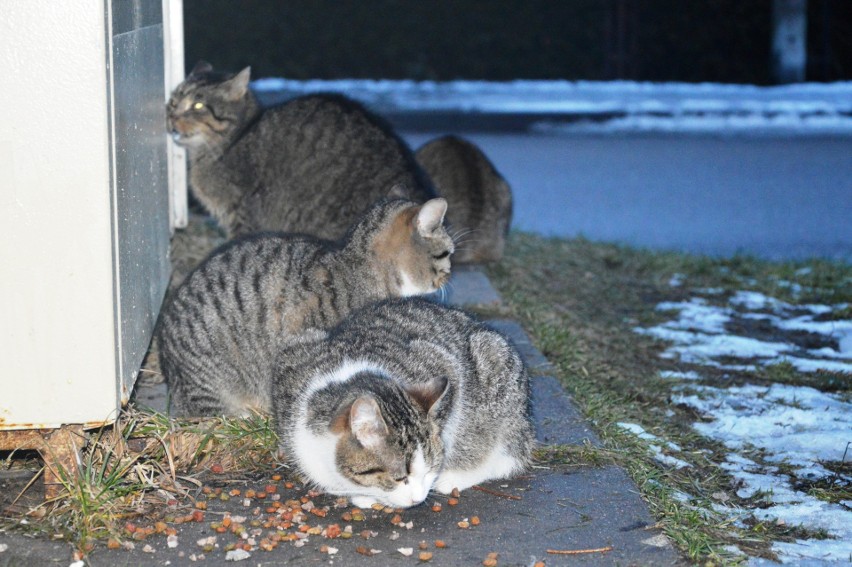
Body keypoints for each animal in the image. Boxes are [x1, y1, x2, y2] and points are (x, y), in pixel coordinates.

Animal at [272, 298, 532, 510]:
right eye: (399, 478)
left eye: (428, 470)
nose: (418, 499)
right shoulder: (289, 361)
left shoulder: (446, 364)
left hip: (495, 365)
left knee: (501, 455)